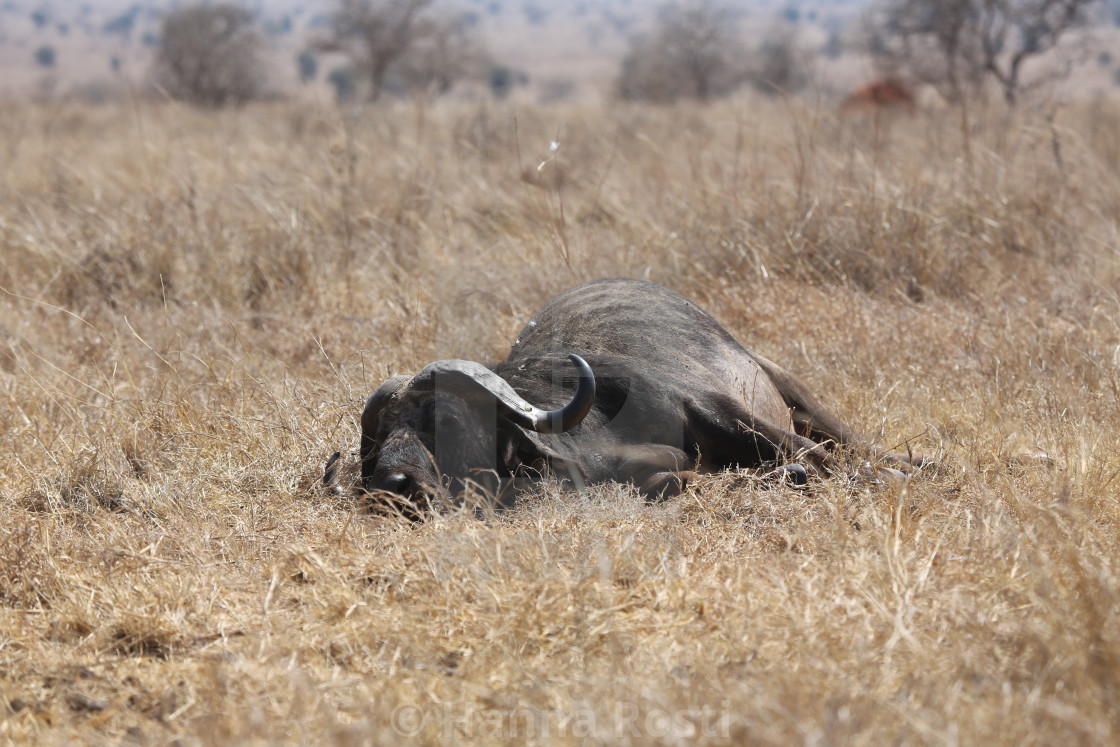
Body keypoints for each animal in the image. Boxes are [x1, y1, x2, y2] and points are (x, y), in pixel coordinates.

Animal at [329, 277, 927, 510]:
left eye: (446, 421)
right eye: (380, 439)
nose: (390, 488)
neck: (594, 439)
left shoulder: (722, 411)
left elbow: (817, 458)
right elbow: (672, 480)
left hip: (791, 390)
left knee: (845, 443)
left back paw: (914, 463)